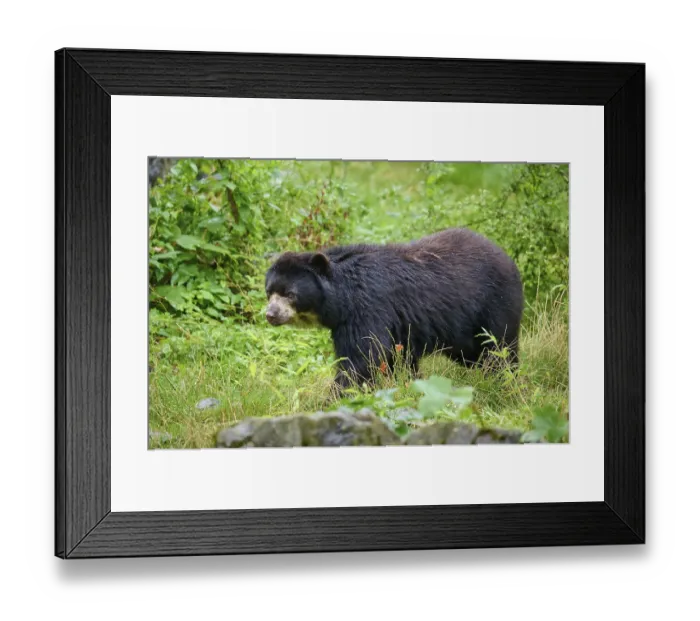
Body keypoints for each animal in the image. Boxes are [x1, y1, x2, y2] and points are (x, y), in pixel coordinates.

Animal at [264, 227, 524, 391]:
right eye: (269, 291)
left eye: (290, 294)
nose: (270, 314)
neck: (342, 301)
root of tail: (508, 257)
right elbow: (397, 360)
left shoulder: (368, 310)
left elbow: (361, 359)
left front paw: (336, 398)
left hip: (494, 304)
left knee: (499, 348)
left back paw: (505, 380)